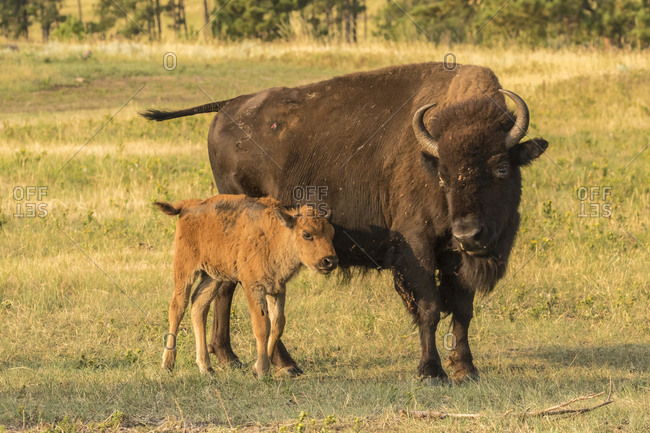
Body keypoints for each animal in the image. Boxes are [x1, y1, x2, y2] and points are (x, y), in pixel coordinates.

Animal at [154, 195, 337, 377]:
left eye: (332, 233)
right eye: (306, 234)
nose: (330, 261)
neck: (276, 236)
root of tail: (188, 205)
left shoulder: (277, 289)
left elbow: (278, 325)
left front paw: (257, 368)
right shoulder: (254, 287)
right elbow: (262, 326)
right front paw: (262, 370)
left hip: (213, 276)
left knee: (199, 306)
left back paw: (206, 367)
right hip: (185, 269)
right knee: (178, 307)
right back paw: (167, 363)